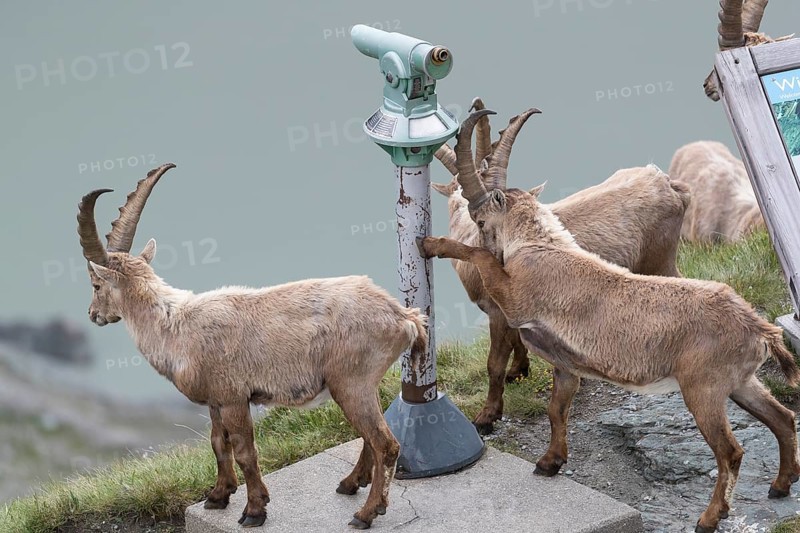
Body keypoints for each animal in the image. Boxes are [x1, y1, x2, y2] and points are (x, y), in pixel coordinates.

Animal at [76, 164, 428, 530]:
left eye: (96, 284)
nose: (93, 315)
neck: (174, 328)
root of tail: (404, 316)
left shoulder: (234, 397)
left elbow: (246, 451)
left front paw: (254, 510)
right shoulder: (215, 399)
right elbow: (218, 443)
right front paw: (218, 496)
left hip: (351, 381)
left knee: (384, 443)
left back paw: (367, 512)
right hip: (359, 385)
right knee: (371, 438)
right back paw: (349, 484)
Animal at [431, 100, 690, 433]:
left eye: (482, 221)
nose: (500, 262)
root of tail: (670, 185)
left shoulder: (498, 313)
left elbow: (494, 363)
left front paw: (487, 417)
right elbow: (517, 342)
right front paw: (520, 371)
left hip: (660, 260)